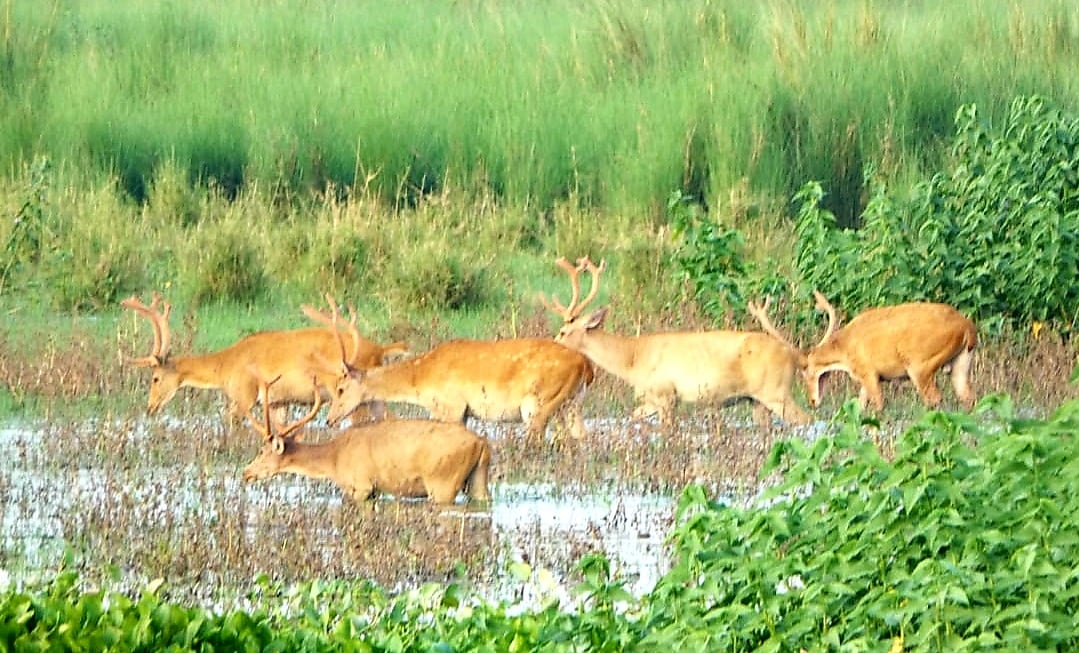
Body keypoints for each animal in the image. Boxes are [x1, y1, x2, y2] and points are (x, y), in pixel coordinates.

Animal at [120, 292, 406, 422]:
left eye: (155, 378)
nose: (150, 407)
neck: (226, 365)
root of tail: (380, 351)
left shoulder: (243, 397)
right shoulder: (279, 401)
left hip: (353, 396)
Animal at [242, 376, 490, 505]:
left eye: (263, 451)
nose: (246, 473)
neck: (333, 460)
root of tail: (481, 443)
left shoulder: (360, 485)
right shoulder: (373, 490)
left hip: (443, 482)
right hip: (478, 478)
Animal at [323, 328, 594, 442]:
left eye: (340, 389)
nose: (329, 419)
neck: (421, 378)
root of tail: (585, 366)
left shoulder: (450, 407)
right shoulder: (462, 413)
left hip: (539, 403)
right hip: (574, 403)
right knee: (581, 436)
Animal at [541, 256, 810, 429]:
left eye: (563, 331)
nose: (551, 344)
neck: (632, 359)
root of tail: (794, 355)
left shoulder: (666, 394)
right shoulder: (651, 400)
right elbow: (634, 416)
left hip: (775, 391)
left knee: (806, 418)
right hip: (757, 401)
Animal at [757, 291, 977, 412]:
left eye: (805, 372)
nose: (812, 401)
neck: (845, 350)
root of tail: (968, 327)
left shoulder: (869, 372)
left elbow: (878, 405)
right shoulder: (864, 379)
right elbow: (860, 405)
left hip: (920, 365)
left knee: (934, 398)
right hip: (962, 361)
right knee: (968, 397)